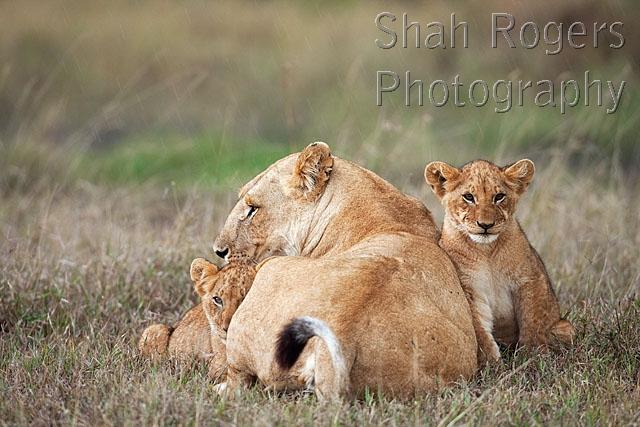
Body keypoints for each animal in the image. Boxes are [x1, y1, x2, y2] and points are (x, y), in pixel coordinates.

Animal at [424, 159, 575, 363]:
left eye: (499, 197)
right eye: (469, 197)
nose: (485, 225)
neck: (487, 251)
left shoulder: (531, 279)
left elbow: (533, 322)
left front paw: (532, 358)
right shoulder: (469, 290)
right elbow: (480, 332)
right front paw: (493, 365)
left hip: (565, 328)